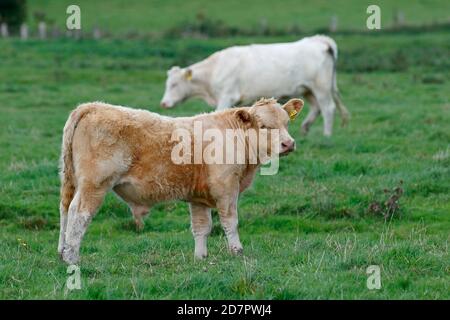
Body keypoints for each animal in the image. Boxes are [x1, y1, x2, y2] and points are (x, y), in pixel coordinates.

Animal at [58, 98, 304, 264]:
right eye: (264, 126)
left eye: (286, 123)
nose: (289, 144)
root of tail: (91, 106)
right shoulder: (226, 190)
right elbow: (230, 222)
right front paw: (237, 251)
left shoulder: (199, 198)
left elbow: (201, 227)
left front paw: (200, 257)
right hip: (94, 185)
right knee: (79, 214)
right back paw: (73, 258)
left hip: (70, 181)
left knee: (64, 211)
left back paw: (62, 252)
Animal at [160, 34, 350, 136]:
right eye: (168, 83)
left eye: (174, 84)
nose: (164, 103)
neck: (214, 70)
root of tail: (318, 41)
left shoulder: (227, 96)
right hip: (307, 90)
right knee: (316, 108)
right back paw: (304, 129)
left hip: (321, 88)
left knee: (328, 108)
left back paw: (326, 135)